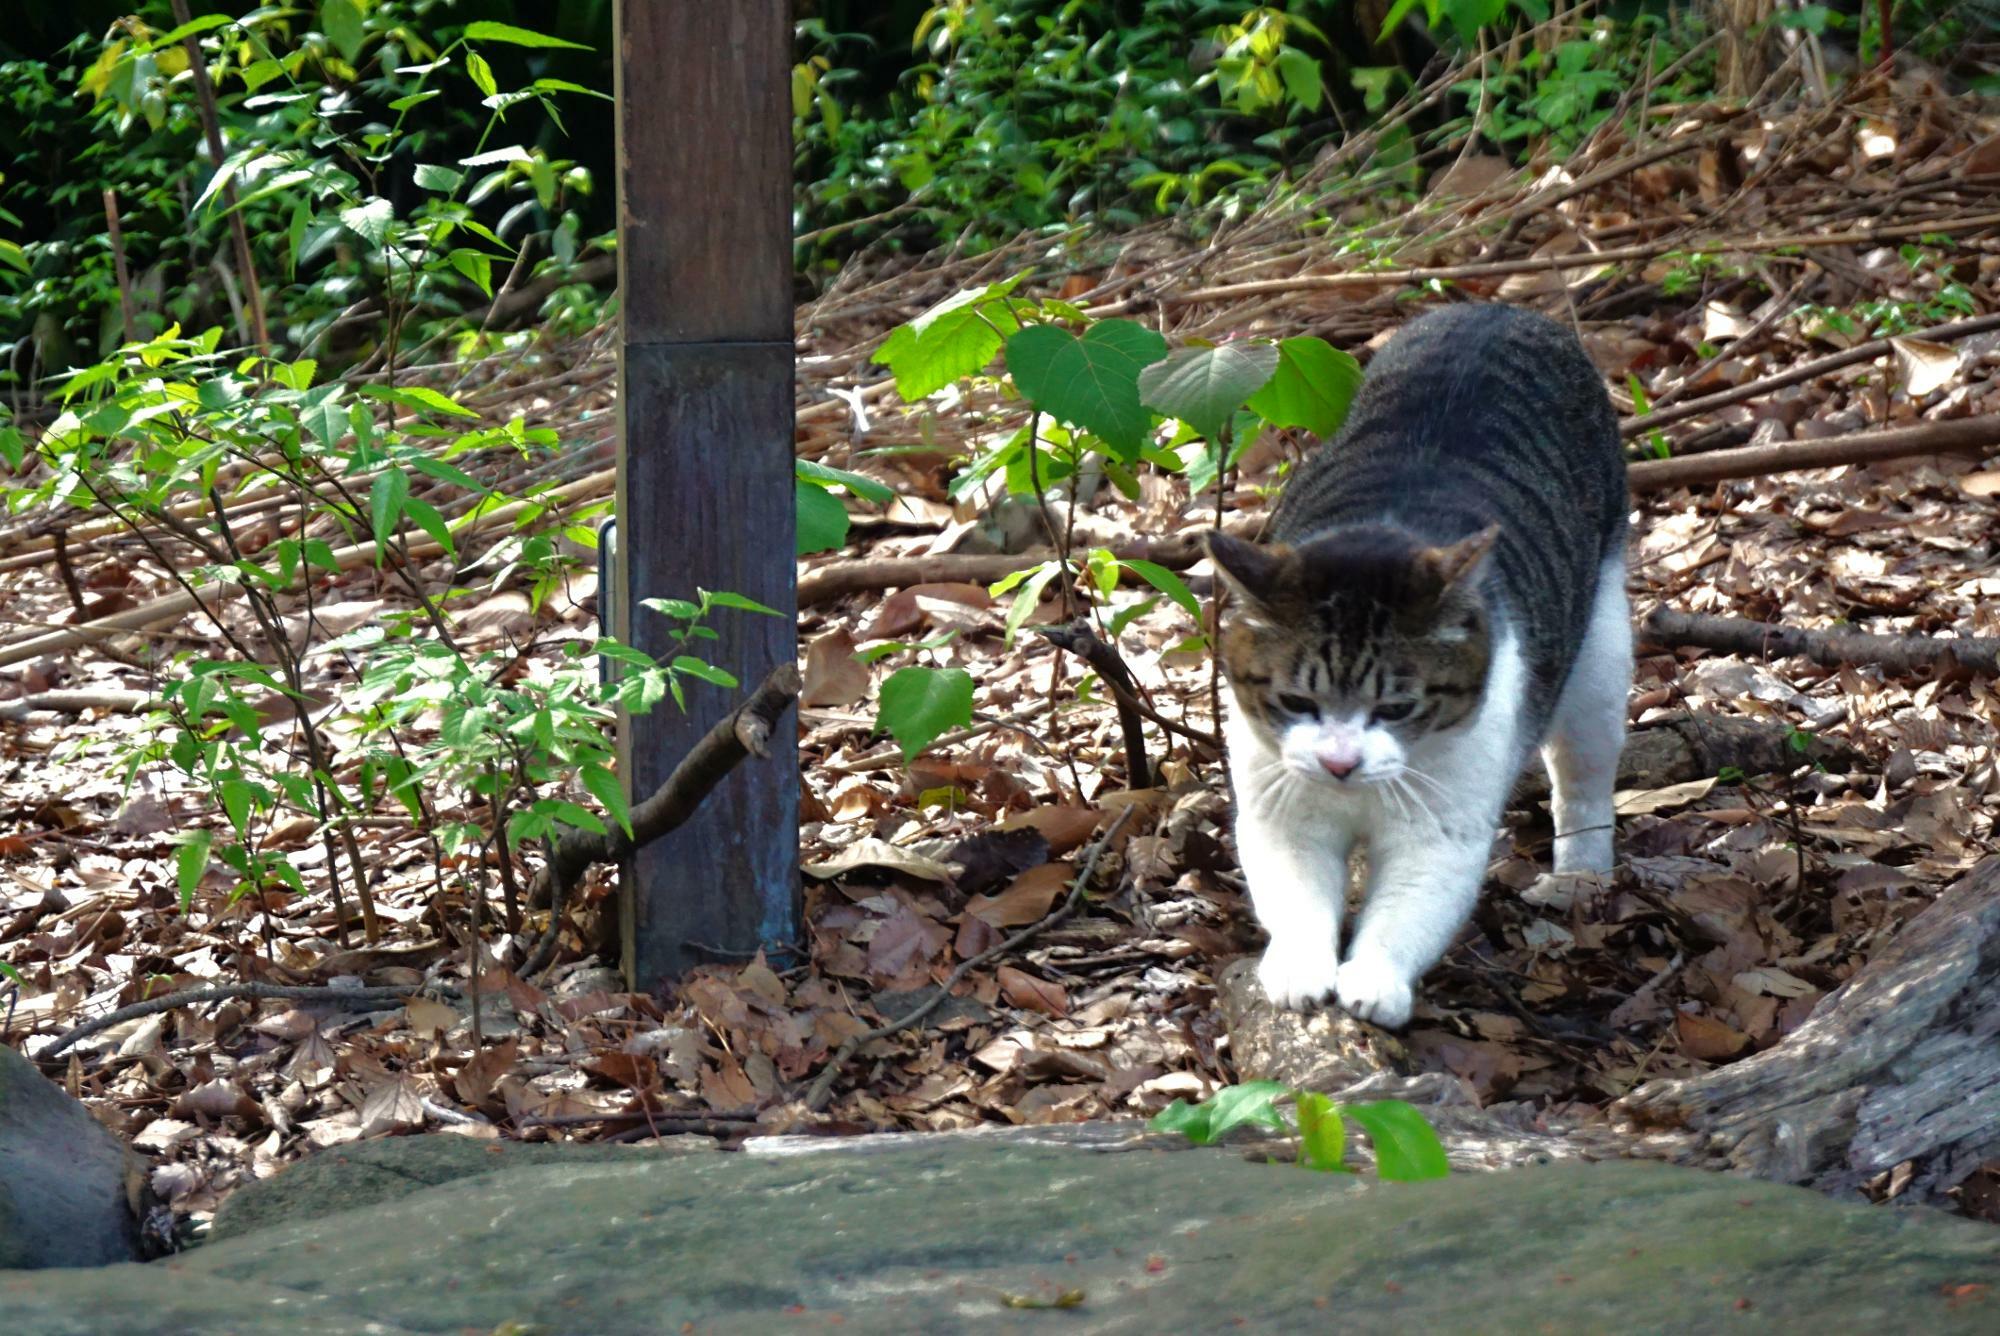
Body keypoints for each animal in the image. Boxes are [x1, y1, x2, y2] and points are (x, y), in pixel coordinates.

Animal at [1208, 308, 1632, 1032]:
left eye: (1397, 708)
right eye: (1296, 702)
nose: (1340, 763)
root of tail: (1499, 310)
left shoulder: (1443, 819)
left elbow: (1415, 899)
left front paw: (1375, 978)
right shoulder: (1281, 805)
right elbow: (1295, 891)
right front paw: (1299, 966)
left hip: (1601, 651)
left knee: (1584, 772)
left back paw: (1581, 872)